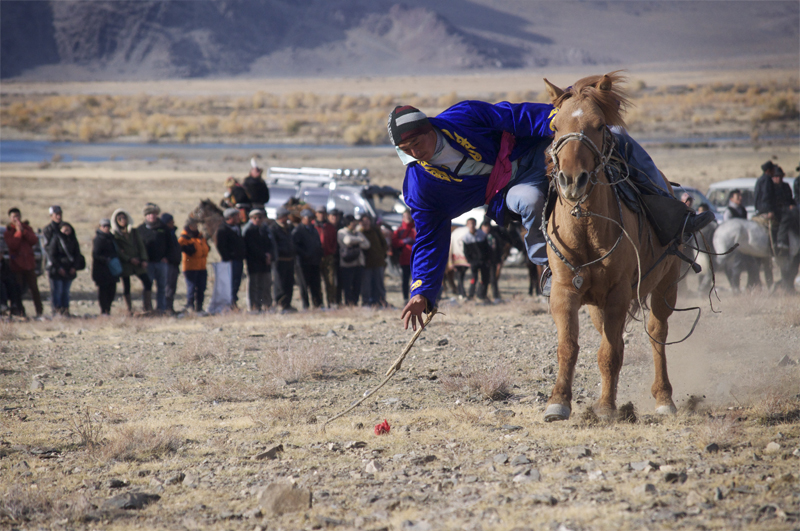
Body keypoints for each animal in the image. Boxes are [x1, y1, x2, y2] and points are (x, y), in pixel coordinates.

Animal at [540, 74, 680, 424]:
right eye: (555, 126)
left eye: (600, 125)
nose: (572, 180)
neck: (586, 230)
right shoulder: (564, 292)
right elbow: (568, 347)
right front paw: (558, 403)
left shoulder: (619, 293)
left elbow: (610, 352)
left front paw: (605, 407)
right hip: (596, 306)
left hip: (666, 286)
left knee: (657, 333)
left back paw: (664, 399)